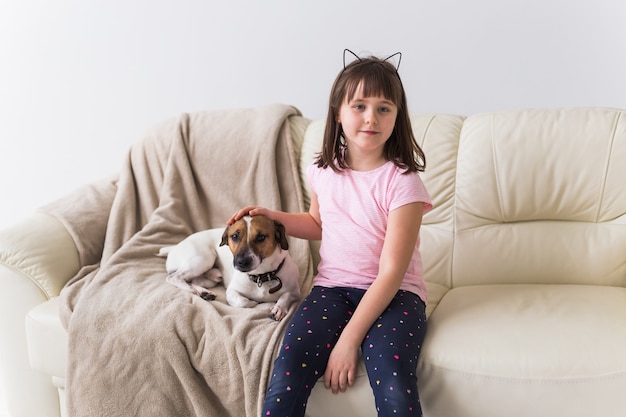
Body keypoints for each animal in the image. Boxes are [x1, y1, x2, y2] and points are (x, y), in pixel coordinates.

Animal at [158, 216, 300, 320]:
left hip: (208, 278)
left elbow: (285, 296)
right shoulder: (232, 292)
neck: (261, 276)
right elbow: (243, 301)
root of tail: (174, 247)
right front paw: (255, 303)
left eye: (261, 237)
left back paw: (204, 291)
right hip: (204, 258)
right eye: (234, 236)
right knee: (174, 278)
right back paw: (193, 290)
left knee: (194, 281)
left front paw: (279, 308)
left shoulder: (295, 292)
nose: (241, 262)